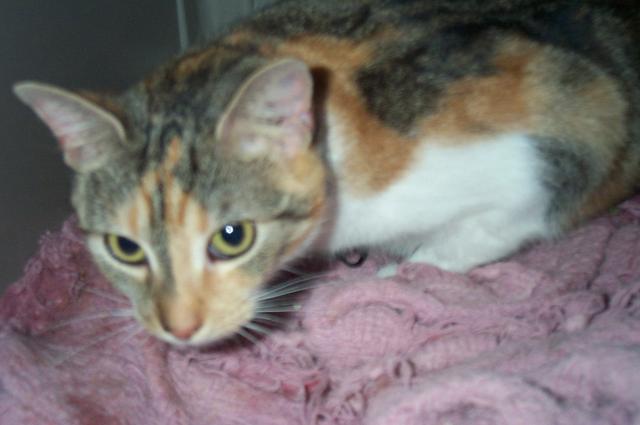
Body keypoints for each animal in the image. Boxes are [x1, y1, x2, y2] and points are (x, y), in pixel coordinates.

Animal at [14, 0, 640, 346]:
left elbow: (469, 238)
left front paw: (397, 276)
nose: (178, 328)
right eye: (124, 248)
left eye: (232, 237)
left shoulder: (551, 152)